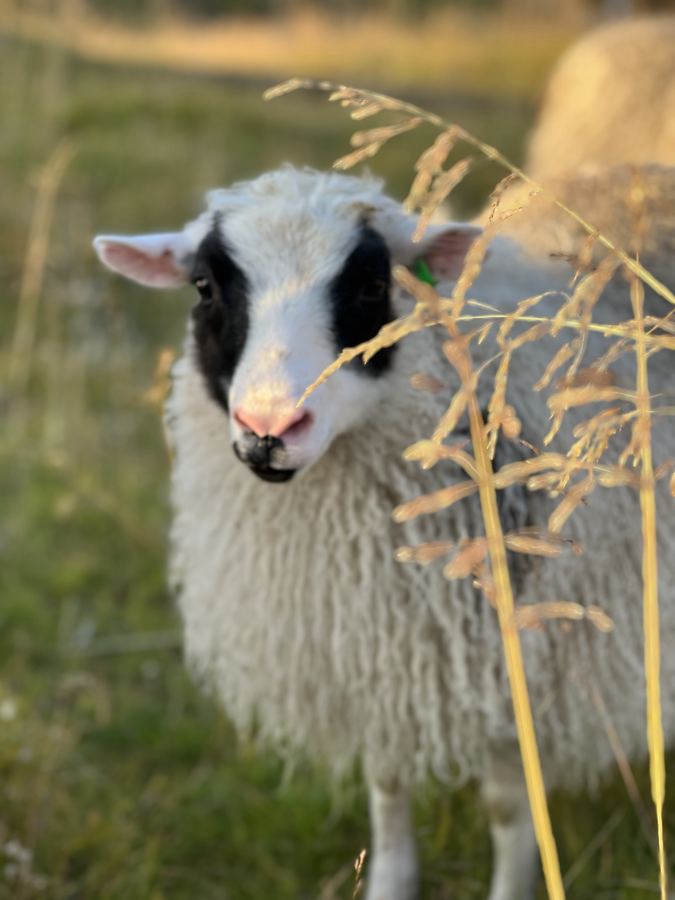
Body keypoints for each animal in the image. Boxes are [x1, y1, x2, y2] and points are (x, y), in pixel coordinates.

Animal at [93, 164, 675, 900]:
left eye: (372, 286)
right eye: (203, 286)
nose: (269, 429)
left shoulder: (523, 659)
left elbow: (506, 806)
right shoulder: (378, 652)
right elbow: (387, 784)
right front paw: (390, 883)